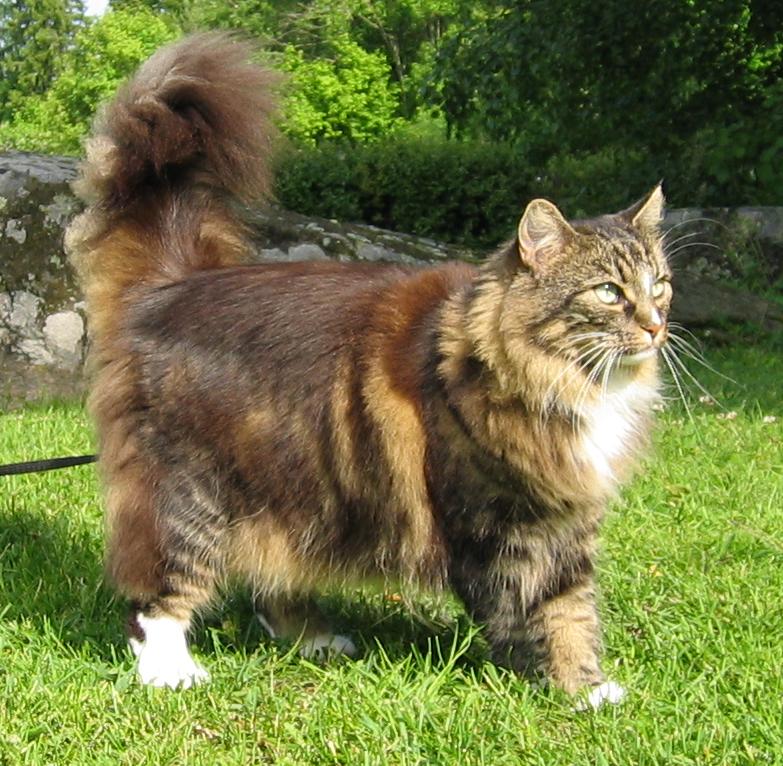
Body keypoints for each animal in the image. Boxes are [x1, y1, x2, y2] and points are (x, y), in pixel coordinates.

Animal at [64, 34, 672, 708]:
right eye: (609, 292)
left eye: (660, 285)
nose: (655, 326)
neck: (558, 379)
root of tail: (173, 285)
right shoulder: (507, 527)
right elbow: (550, 615)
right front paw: (578, 691)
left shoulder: (567, 521)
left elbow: (575, 608)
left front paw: (595, 690)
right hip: (191, 494)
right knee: (156, 594)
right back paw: (172, 671)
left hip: (293, 482)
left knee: (271, 578)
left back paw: (317, 638)